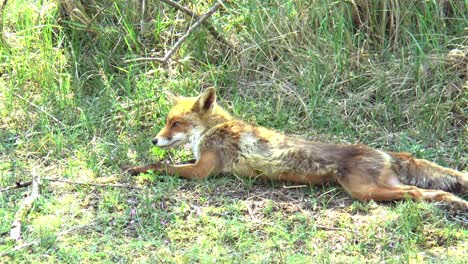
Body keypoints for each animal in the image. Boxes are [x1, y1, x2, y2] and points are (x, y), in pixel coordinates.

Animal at [124, 88, 468, 208]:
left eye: (175, 123)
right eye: (167, 122)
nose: (154, 140)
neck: (214, 130)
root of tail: (383, 152)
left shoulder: (201, 171)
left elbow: (161, 166)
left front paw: (137, 167)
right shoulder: (198, 165)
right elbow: (167, 162)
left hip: (365, 191)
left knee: (414, 193)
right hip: (379, 187)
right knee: (428, 191)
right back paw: (454, 202)